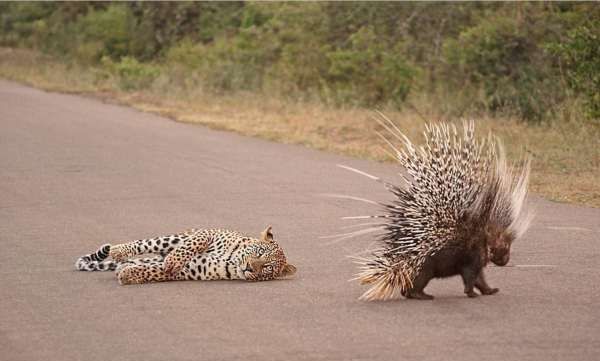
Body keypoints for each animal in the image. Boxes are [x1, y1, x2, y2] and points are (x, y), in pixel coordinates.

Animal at [76, 225, 296, 284]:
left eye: (267, 267)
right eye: (259, 252)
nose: (249, 268)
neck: (232, 261)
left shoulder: (194, 270)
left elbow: (156, 272)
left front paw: (129, 275)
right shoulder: (208, 232)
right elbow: (191, 246)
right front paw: (174, 260)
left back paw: (126, 266)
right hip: (174, 237)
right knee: (145, 244)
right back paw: (119, 250)